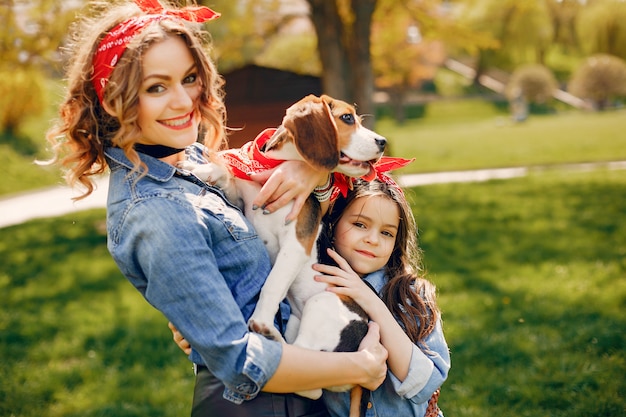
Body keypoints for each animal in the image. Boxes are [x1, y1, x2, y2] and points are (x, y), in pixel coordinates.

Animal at [180, 94, 386, 410]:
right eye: (347, 118)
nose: (383, 142)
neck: (279, 166)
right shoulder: (241, 200)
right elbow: (229, 176)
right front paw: (205, 169)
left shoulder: (296, 242)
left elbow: (272, 284)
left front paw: (261, 320)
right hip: (301, 322)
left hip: (324, 304)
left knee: (310, 379)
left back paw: (269, 341)